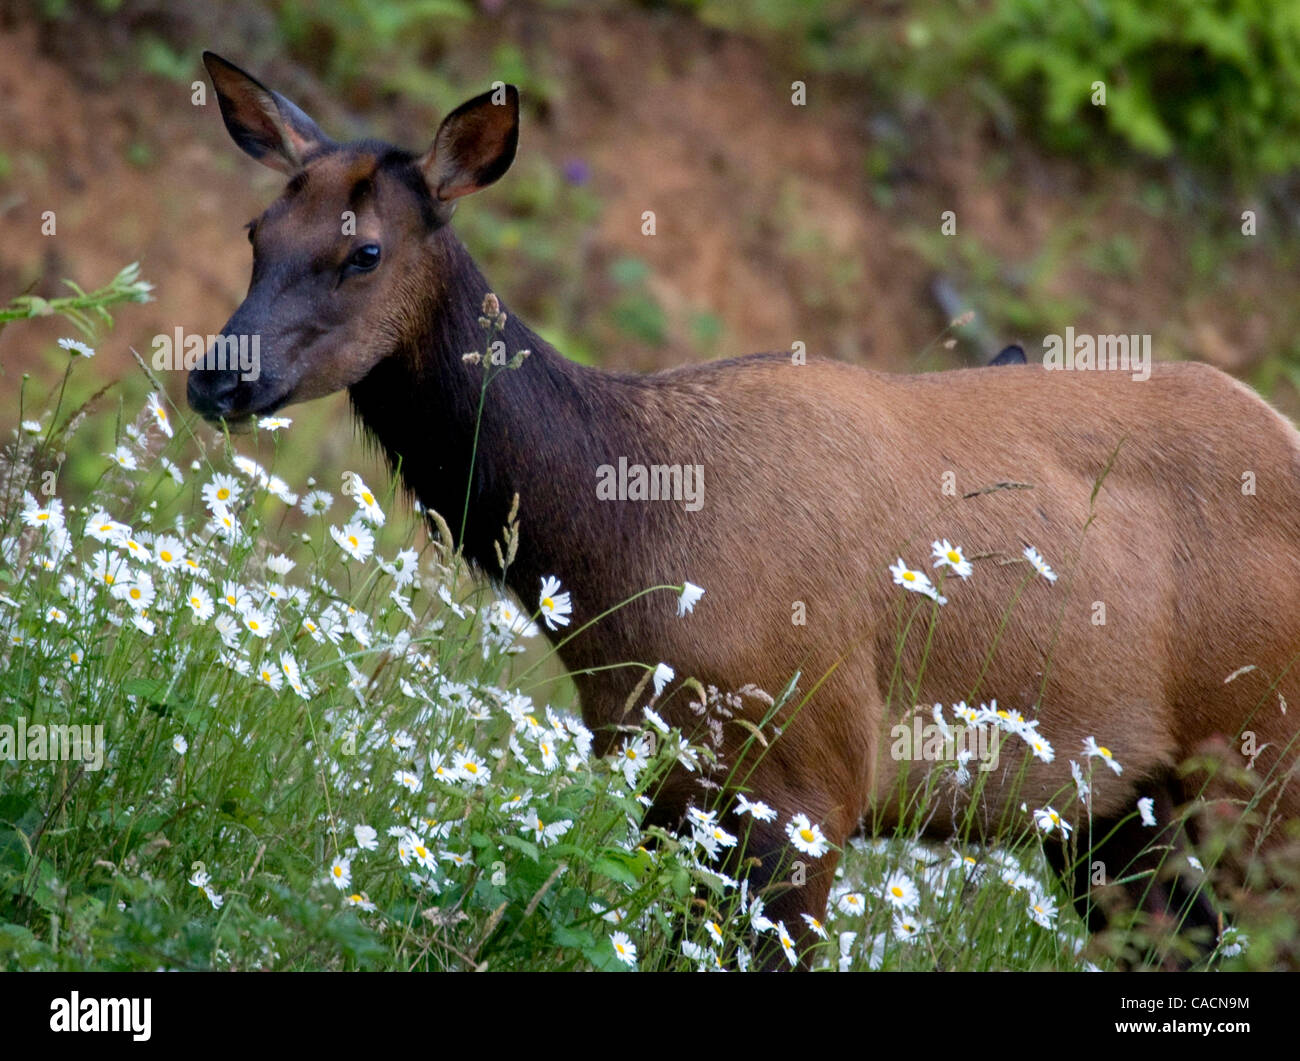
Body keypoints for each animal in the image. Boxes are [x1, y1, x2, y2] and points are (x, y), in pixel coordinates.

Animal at [190, 52, 1299, 970]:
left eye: (365, 252)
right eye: (254, 232)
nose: (217, 377)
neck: (620, 550)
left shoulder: (809, 778)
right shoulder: (665, 778)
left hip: (1258, 769)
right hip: (1117, 813)